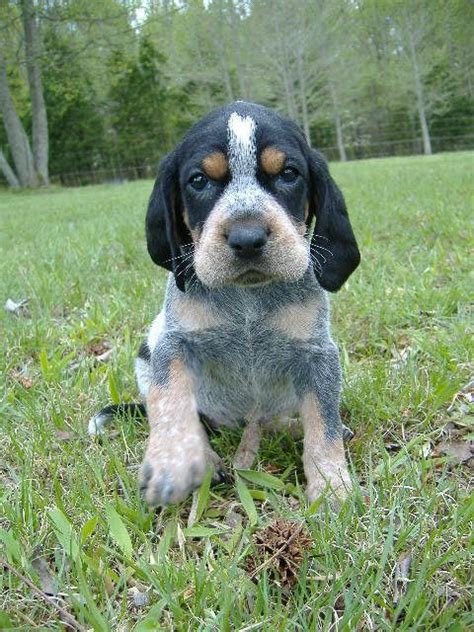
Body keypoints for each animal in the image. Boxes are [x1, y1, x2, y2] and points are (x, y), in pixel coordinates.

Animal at [90, 103, 362, 508]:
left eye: (289, 174)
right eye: (199, 180)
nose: (247, 238)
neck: (247, 299)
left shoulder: (317, 355)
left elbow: (323, 425)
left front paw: (332, 487)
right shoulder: (174, 344)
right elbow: (170, 402)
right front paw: (172, 461)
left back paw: (288, 427)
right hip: (147, 351)